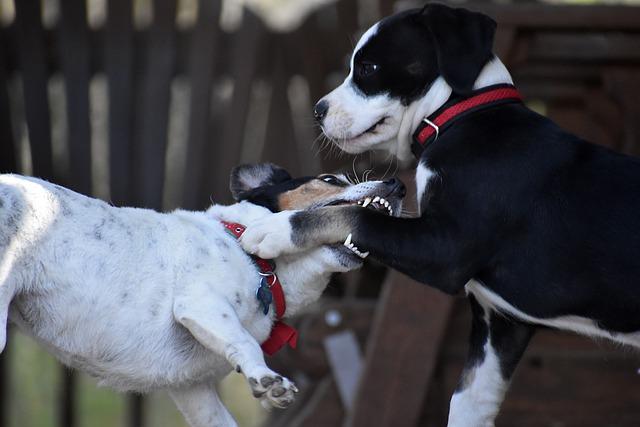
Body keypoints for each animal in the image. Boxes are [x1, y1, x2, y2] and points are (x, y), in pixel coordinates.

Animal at [0, 162, 402, 426]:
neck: (249, 251)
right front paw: (266, 379)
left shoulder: (194, 392)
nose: (398, 184)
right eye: (329, 179)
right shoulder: (201, 306)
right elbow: (246, 343)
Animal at [239, 4, 640, 427]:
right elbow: (466, 403)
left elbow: (357, 217)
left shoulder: (444, 250)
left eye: (368, 68)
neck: (460, 119)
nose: (318, 111)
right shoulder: (500, 327)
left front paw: (273, 229)